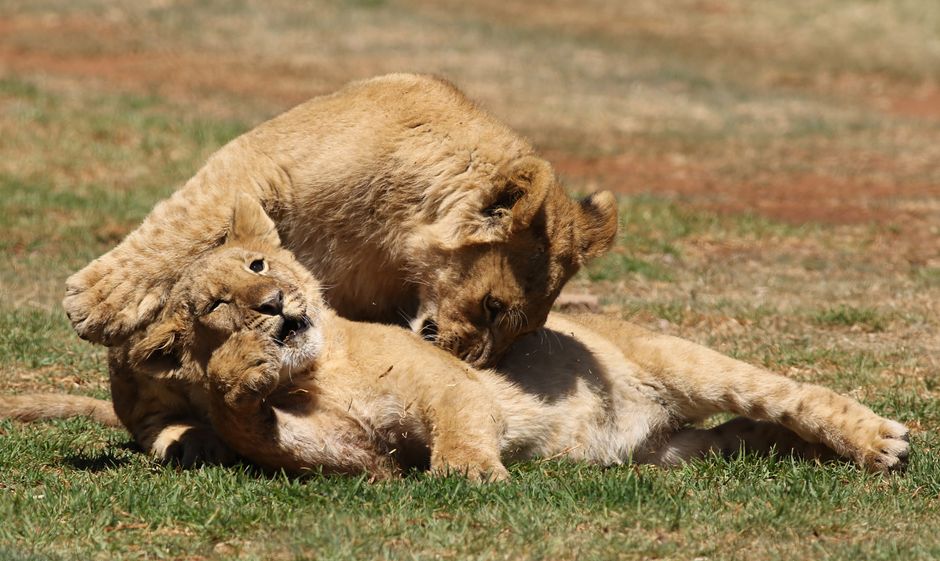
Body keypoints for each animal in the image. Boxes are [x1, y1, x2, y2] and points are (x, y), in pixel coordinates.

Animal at [6, 197, 909, 478]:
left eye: (260, 261)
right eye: (215, 305)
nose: (272, 304)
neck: (322, 371)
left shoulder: (451, 383)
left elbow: (459, 420)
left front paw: (471, 472)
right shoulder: (350, 454)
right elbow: (253, 425)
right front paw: (240, 371)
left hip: (686, 360)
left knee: (790, 394)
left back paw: (879, 442)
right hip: (671, 454)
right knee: (747, 432)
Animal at [60, 74, 618, 463]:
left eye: (522, 330)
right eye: (493, 305)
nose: (473, 365)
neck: (396, 231)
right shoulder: (260, 165)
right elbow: (185, 222)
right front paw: (94, 303)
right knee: (145, 414)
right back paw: (188, 436)